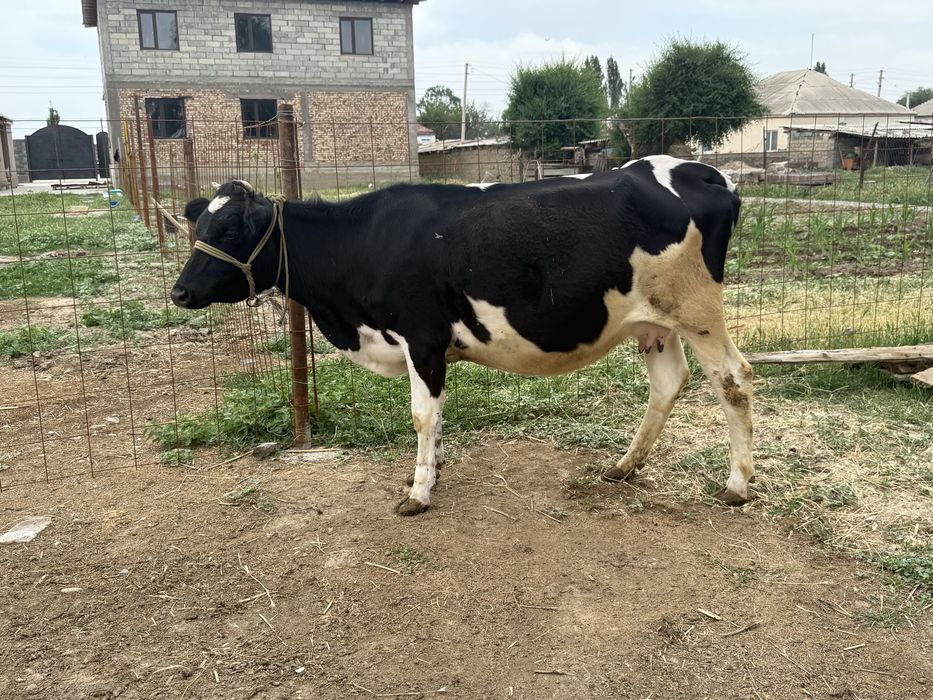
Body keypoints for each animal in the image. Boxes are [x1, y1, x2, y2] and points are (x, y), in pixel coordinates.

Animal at [171, 155, 754, 516]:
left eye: (229, 230)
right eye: (200, 227)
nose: (179, 292)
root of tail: (704, 172)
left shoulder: (421, 337)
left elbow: (421, 415)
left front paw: (418, 491)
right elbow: (438, 415)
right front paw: (432, 469)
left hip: (699, 310)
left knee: (734, 378)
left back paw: (737, 485)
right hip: (656, 322)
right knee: (669, 383)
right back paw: (624, 466)